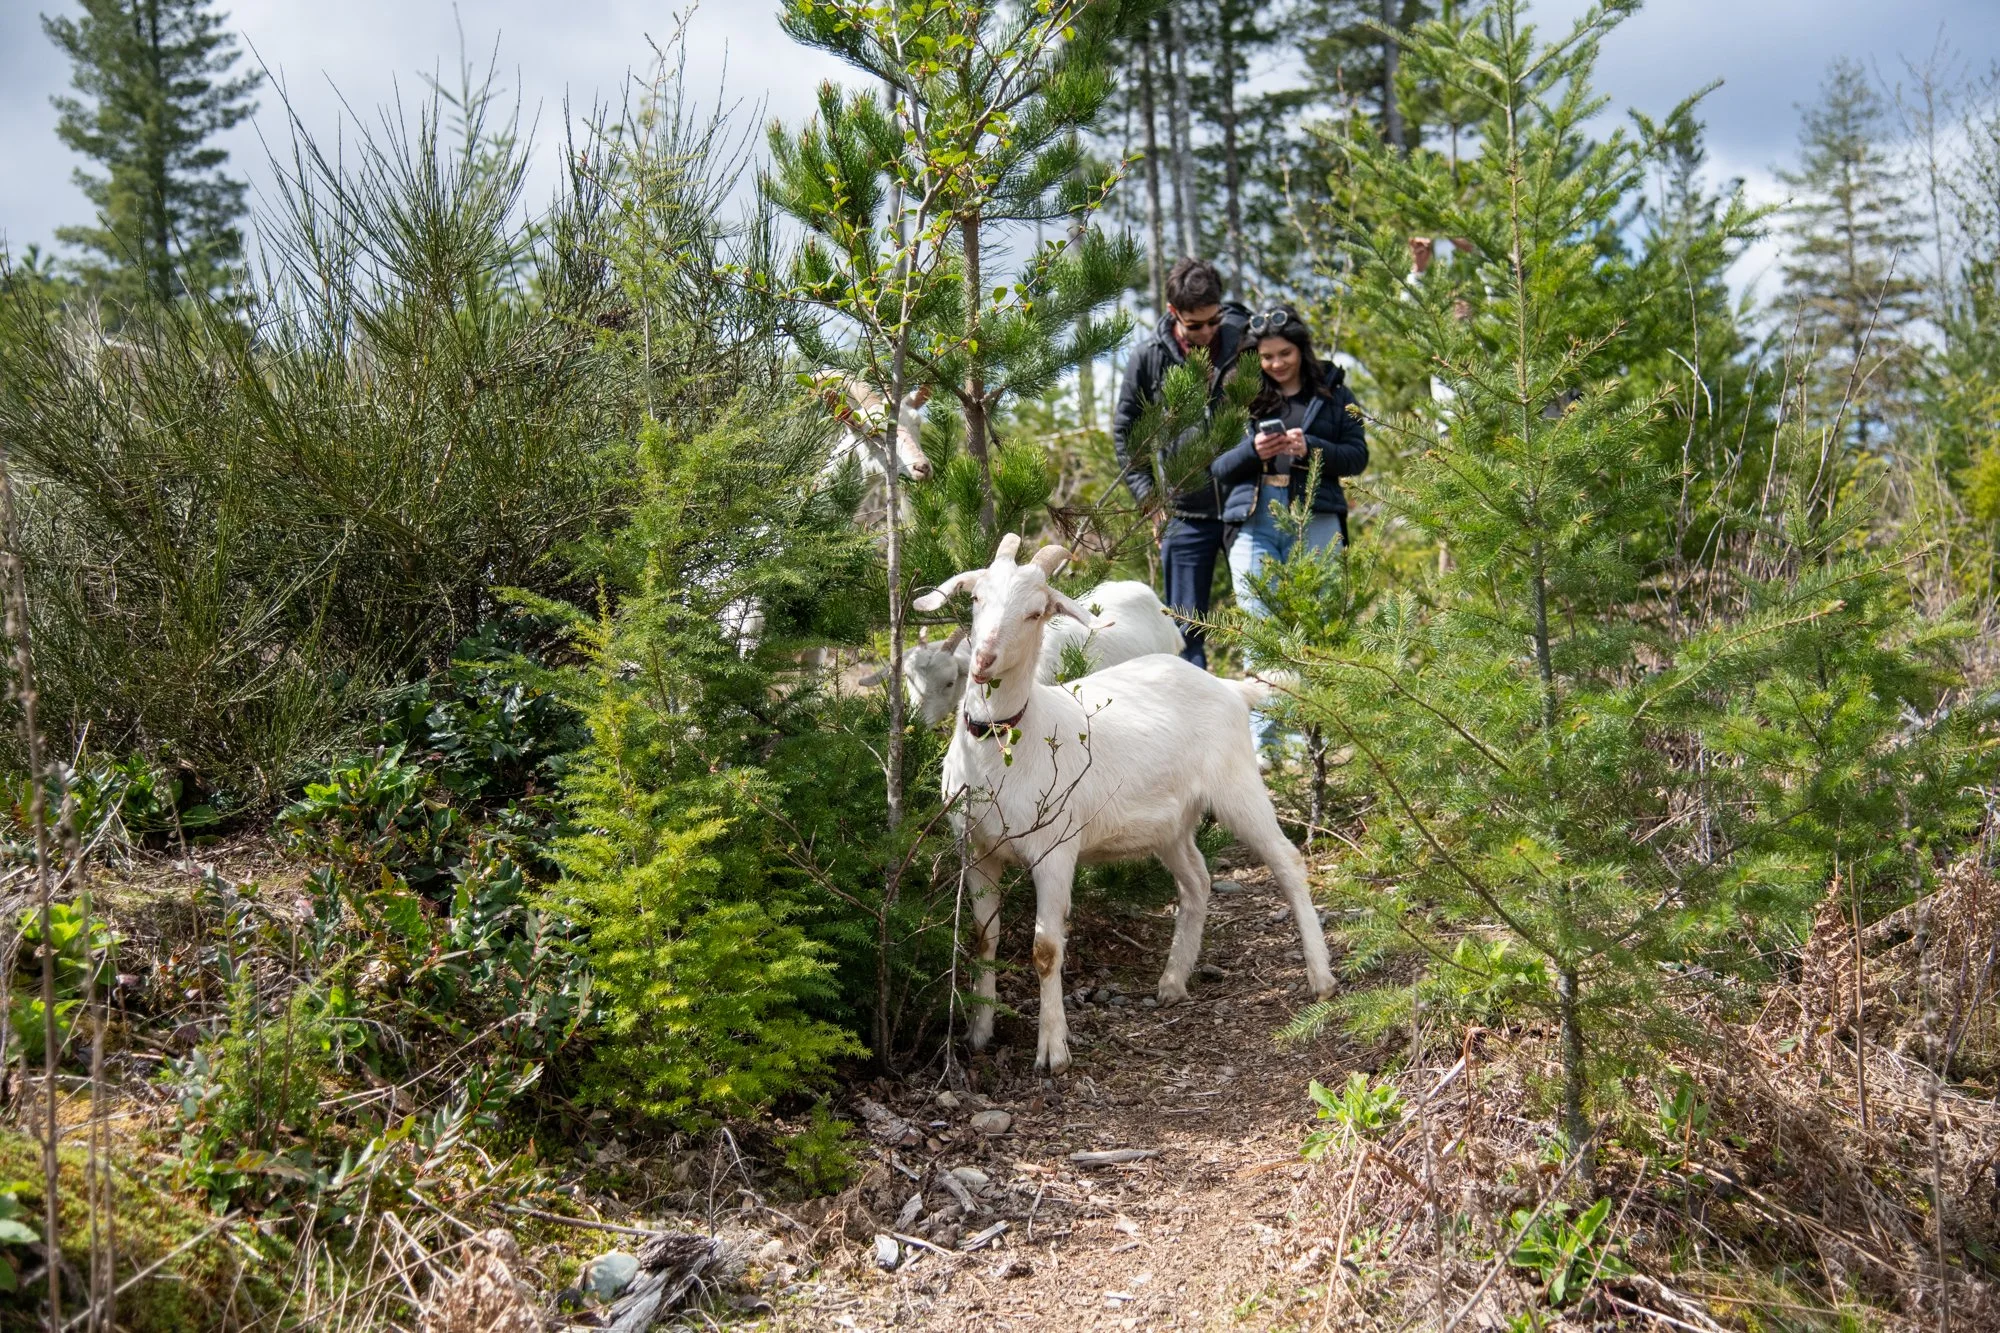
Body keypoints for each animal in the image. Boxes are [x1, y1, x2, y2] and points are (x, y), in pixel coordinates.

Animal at [914, 535, 1334, 1074]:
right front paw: (979, 1032)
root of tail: (1228, 687)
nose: (984, 658)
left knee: (1286, 860)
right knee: (1196, 880)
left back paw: (1320, 977)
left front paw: (1053, 1050)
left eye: (1036, 612)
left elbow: (1045, 949)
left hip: (1237, 786)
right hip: (1169, 822)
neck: (1004, 747)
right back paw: (1173, 982)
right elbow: (982, 937)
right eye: (976, 599)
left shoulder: (1055, 851)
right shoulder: (977, 849)